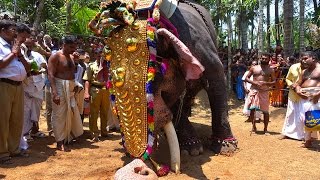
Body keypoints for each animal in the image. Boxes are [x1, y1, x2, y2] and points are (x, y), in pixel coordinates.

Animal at [87, 0, 238, 176]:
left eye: (153, 75)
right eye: (110, 82)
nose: (152, 167)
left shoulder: (202, 49)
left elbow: (216, 81)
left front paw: (226, 147)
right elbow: (174, 101)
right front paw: (192, 148)